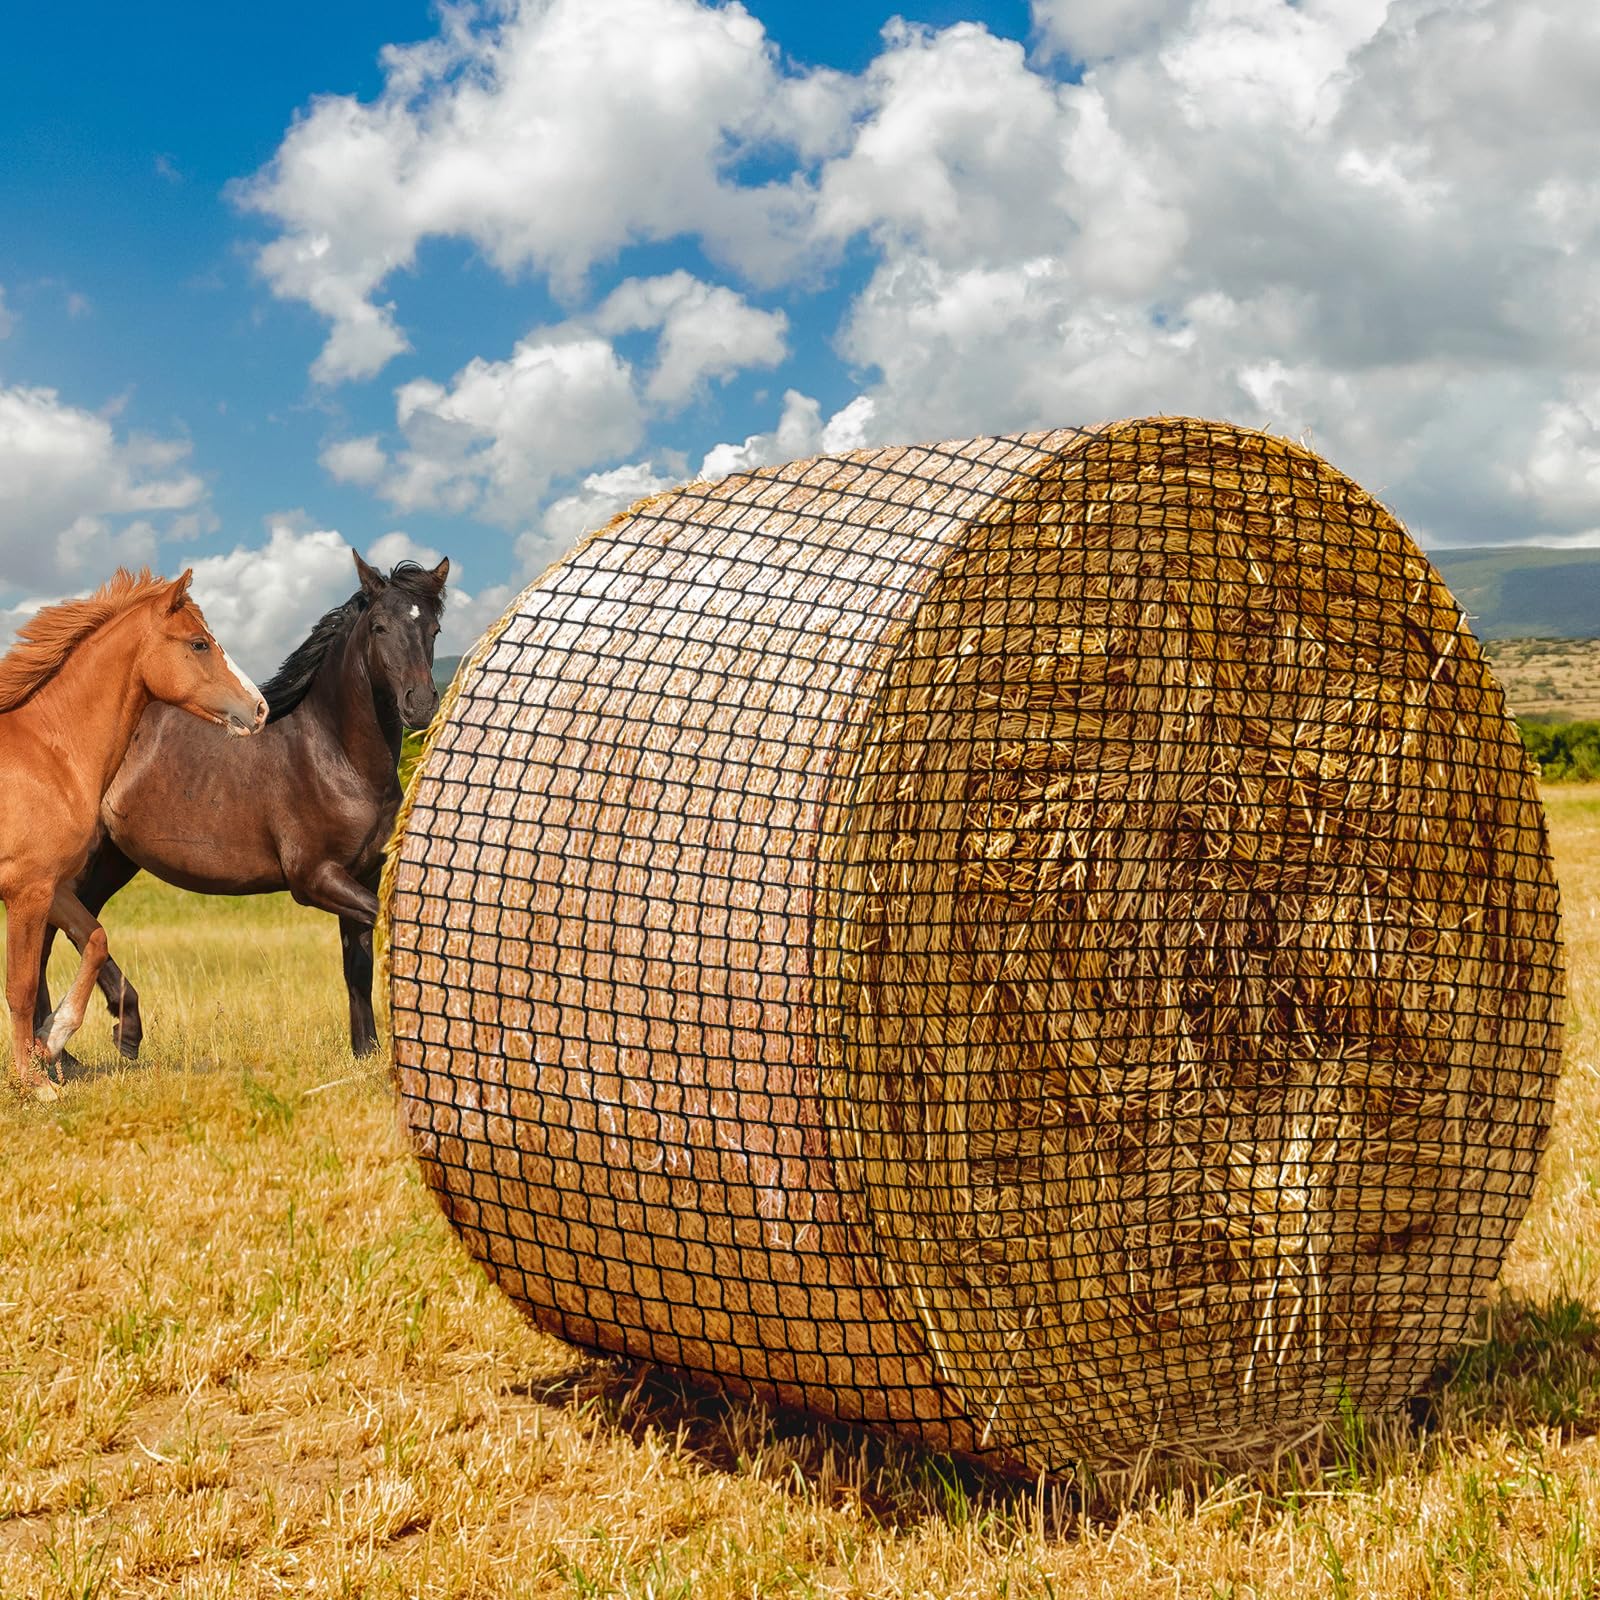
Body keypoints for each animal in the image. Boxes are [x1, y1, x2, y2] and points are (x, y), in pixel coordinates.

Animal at [0, 568, 265, 1099]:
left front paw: (51, 1041)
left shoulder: (54, 887)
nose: (260, 708)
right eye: (199, 643)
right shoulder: (26, 889)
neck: (49, 754)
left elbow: (96, 941)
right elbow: (20, 986)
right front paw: (35, 1083)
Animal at [34, 551, 448, 1063]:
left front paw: (365, 1053)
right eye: (379, 626)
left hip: (114, 860)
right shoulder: (315, 878)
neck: (336, 756)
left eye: (433, 628)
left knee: (73, 927)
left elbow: (358, 968)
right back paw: (76, 1043)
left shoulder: (361, 875)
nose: (421, 704)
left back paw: (89, 1042)